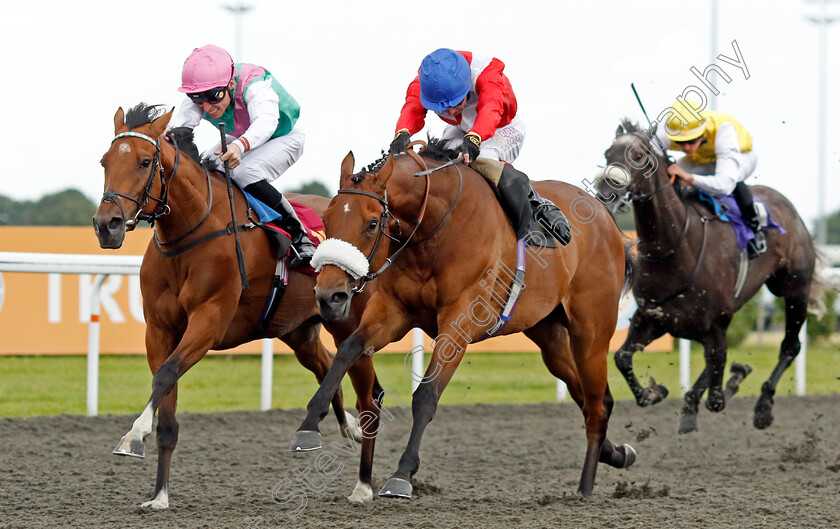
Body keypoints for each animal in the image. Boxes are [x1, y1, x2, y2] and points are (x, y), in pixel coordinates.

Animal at [92, 104, 380, 508]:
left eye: (145, 162)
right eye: (104, 161)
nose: (107, 225)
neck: (192, 233)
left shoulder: (209, 321)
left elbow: (165, 376)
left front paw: (133, 435)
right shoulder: (160, 331)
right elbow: (166, 403)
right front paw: (159, 495)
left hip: (350, 323)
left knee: (369, 394)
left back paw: (364, 484)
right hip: (298, 330)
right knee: (327, 368)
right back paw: (340, 428)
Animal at [288, 140, 636, 500]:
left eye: (372, 224)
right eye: (326, 219)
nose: (329, 295)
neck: (434, 230)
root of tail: (606, 219)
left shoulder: (458, 324)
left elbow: (426, 395)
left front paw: (402, 474)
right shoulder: (391, 311)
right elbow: (347, 350)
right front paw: (309, 426)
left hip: (591, 334)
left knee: (596, 404)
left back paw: (585, 486)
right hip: (549, 337)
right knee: (589, 397)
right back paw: (616, 454)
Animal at [600, 120, 832, 434]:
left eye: (637, 156)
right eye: (607, 154)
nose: (605, 192)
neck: (675, 249)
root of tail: (791, 210)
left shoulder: (716, 324)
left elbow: (717, 398)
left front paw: (734, 379)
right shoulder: (652, 318)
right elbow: (622, 357)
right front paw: (655, 393)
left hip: (794, 288)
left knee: (790, 346)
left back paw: (763, 406)